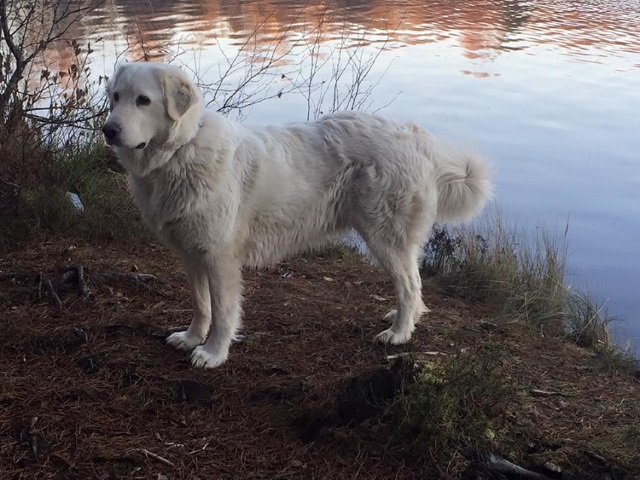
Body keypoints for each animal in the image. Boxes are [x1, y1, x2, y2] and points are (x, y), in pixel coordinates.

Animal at [102, 62, 493, 368]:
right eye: (115, 97)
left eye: (143, 100)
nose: (108, 130)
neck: (179, 152)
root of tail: (416, 138)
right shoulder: (192, 254)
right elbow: (201, 304)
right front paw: (190, 338)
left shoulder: (219, 257)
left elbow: (224, 312)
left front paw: (213, 353)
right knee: (411, 289)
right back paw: (400, 318)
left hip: (385, 237)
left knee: (411, 286)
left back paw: (398, 334)